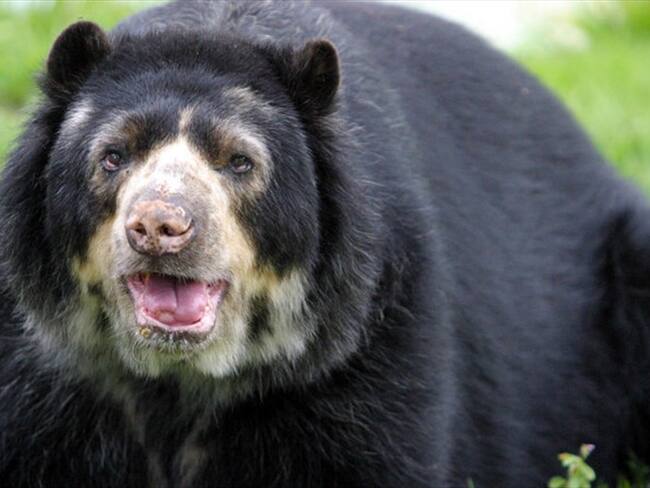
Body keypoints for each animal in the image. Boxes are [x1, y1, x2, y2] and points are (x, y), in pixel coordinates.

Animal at [1, 1, 649, 486]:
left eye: (239, 162)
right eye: (113, 156)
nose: (160, 227)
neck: (179, 381)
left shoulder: (369, 342)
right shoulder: (45, 376)